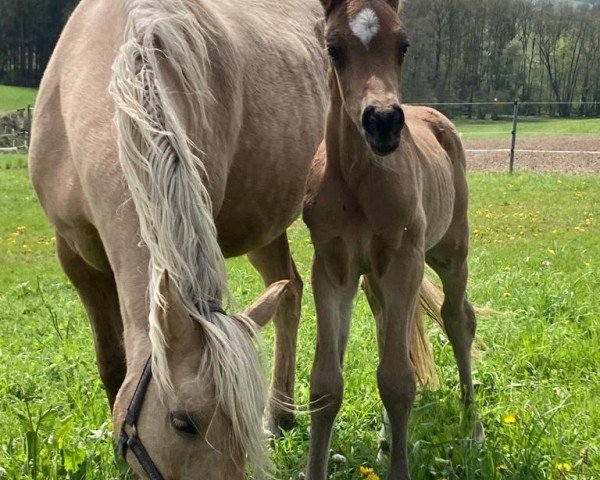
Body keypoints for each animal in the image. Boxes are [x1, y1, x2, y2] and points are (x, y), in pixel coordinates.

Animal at [304, 0, 482, 480]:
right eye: (334, 48)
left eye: (403, 45)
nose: (382, 122)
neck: (357, 182)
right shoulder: (333, 269)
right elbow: (325, 384)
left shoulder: (405, 262)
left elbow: (400, 381)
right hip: (376, 279)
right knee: (389, 331)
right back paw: (386, 442)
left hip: (450, 252)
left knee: (459, 319)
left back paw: (473, 427)